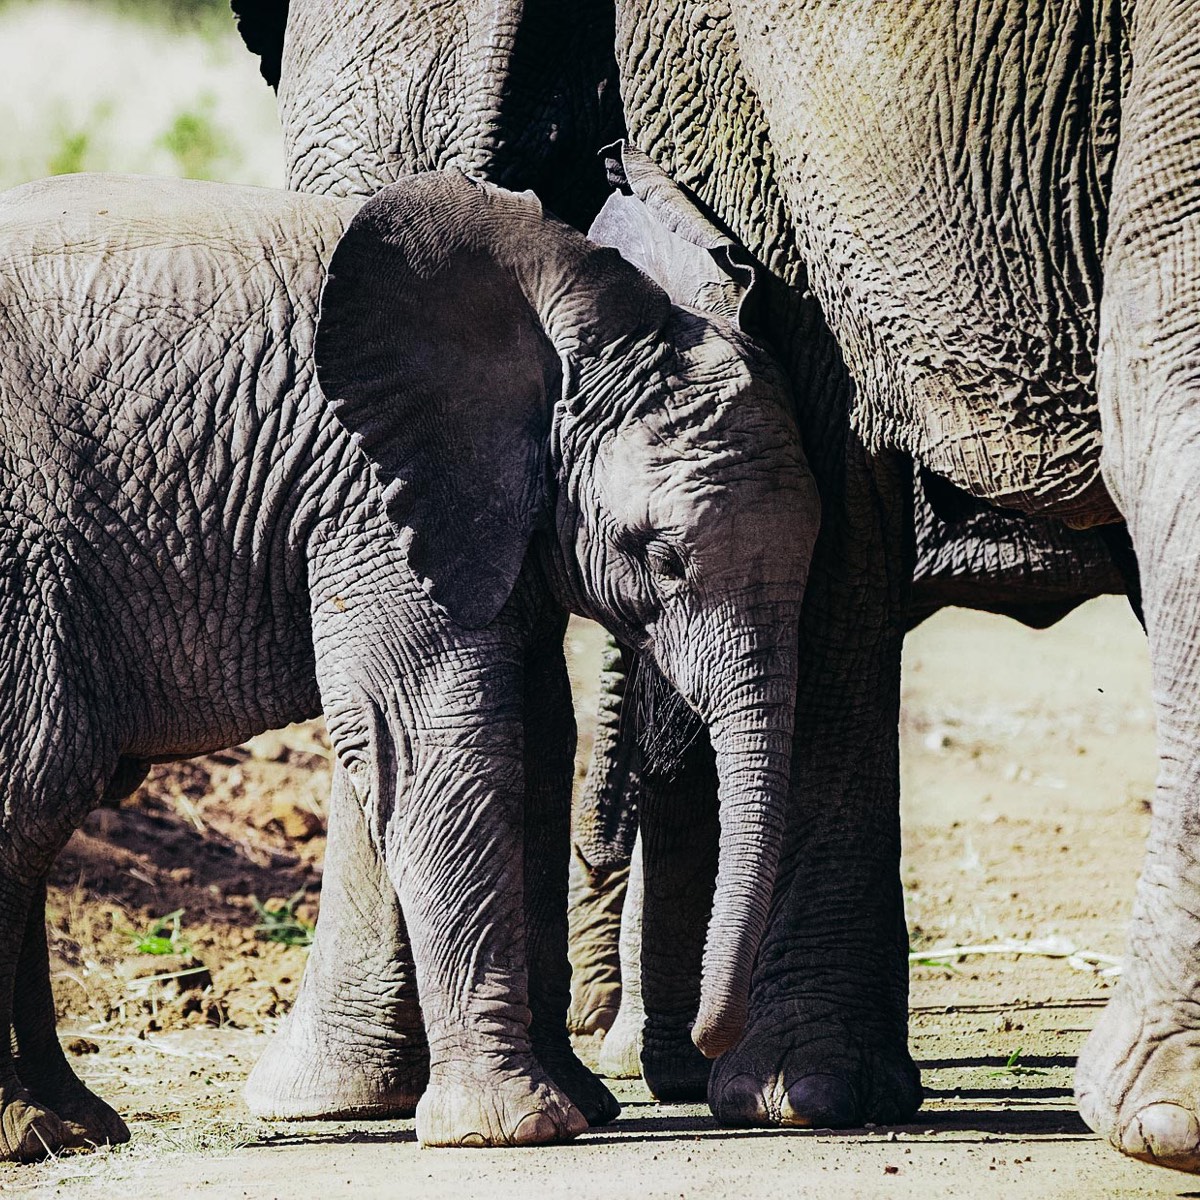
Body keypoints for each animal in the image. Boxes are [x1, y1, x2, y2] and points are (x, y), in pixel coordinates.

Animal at [0, 168, 820, 1155]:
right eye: (656, 556)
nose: (706, 1046)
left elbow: (536, 737)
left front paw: (578, 1106)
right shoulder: (367, 490)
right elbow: (436, 734)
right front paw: (512, 1130)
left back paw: (72, 1127)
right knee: (35, 786)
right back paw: (37, 1130)